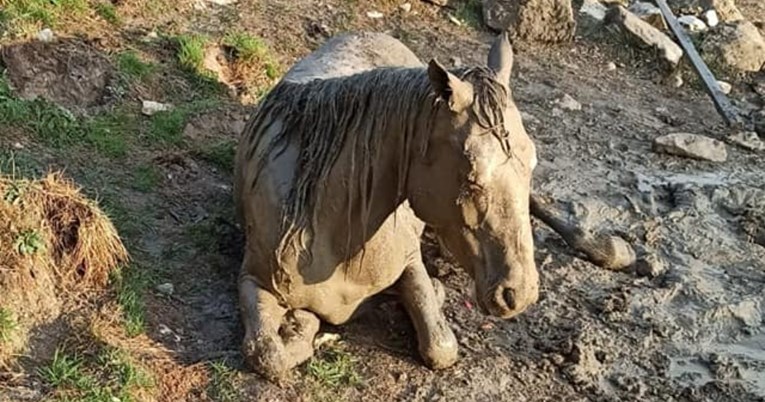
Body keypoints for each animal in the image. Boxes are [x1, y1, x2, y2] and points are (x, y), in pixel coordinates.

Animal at [233, 30, 536, 380]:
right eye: (472, 178)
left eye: (532, 164)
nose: (520, 295)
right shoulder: (252, 280)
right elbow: (268, 353)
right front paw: (300, 324)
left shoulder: (410, 261)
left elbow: (440, 345)